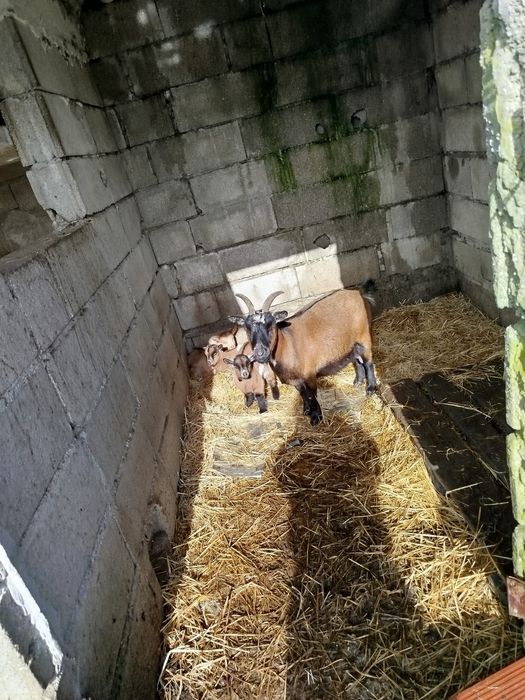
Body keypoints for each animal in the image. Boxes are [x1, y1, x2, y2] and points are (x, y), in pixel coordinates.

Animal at [228, 282, 377, 425]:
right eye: (247, 328)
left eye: (271, 325)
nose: (260, 353)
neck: (287, 343)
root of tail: (359, 294)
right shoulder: (295, 379)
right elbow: (302, 393)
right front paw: (306, 410)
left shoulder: (309, 374)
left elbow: (311, 395)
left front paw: (316, 417)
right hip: (352, 343)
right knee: (357, 359)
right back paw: (358, 381)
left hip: (364, 337)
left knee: (368, 362)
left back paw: (371, 388)